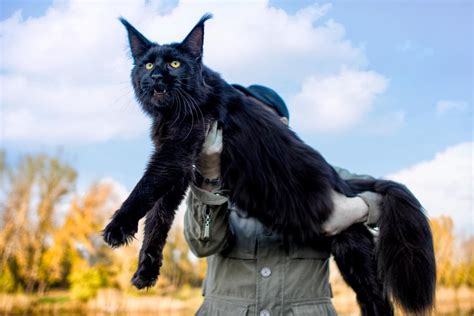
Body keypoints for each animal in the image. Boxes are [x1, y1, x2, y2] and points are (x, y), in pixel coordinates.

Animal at [103, 14, 436, 316]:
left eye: (174, 64)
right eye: (148, 65)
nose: (157, 77)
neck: (173, 111)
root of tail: (343, 183)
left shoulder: (175, 153)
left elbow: (144, 189)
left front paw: (118, 227)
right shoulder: (182, 168)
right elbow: (157, 221)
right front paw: (146, 271)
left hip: (354, 255)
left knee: (381, 302)